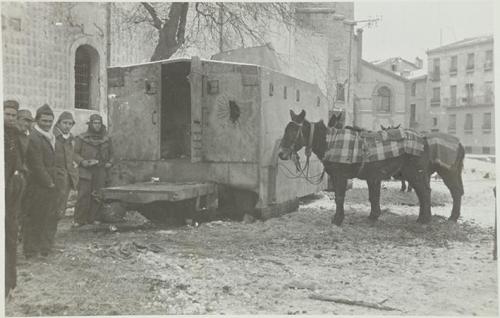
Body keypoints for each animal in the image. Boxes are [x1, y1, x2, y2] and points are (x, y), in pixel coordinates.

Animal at [278, 110, 464, 225]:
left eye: (293, 132)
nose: (281, 154)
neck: (333, 141)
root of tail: (423, 140)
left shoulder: (341, 176)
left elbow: (340, 197)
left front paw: (338, 219)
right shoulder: (372, 177)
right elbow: (373, 197)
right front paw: (373, 216)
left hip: (422, 173)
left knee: (430, 192)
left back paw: (432, 219)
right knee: (426, 193)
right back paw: (426, 217)